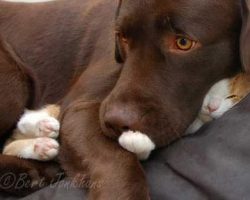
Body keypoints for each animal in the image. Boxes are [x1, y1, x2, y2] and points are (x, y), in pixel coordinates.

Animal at [0, 0, 249, 199]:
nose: (116, 122)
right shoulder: (79, 108)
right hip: (13, 80)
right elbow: (116, 162)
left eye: (183, 43)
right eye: (123, 37)